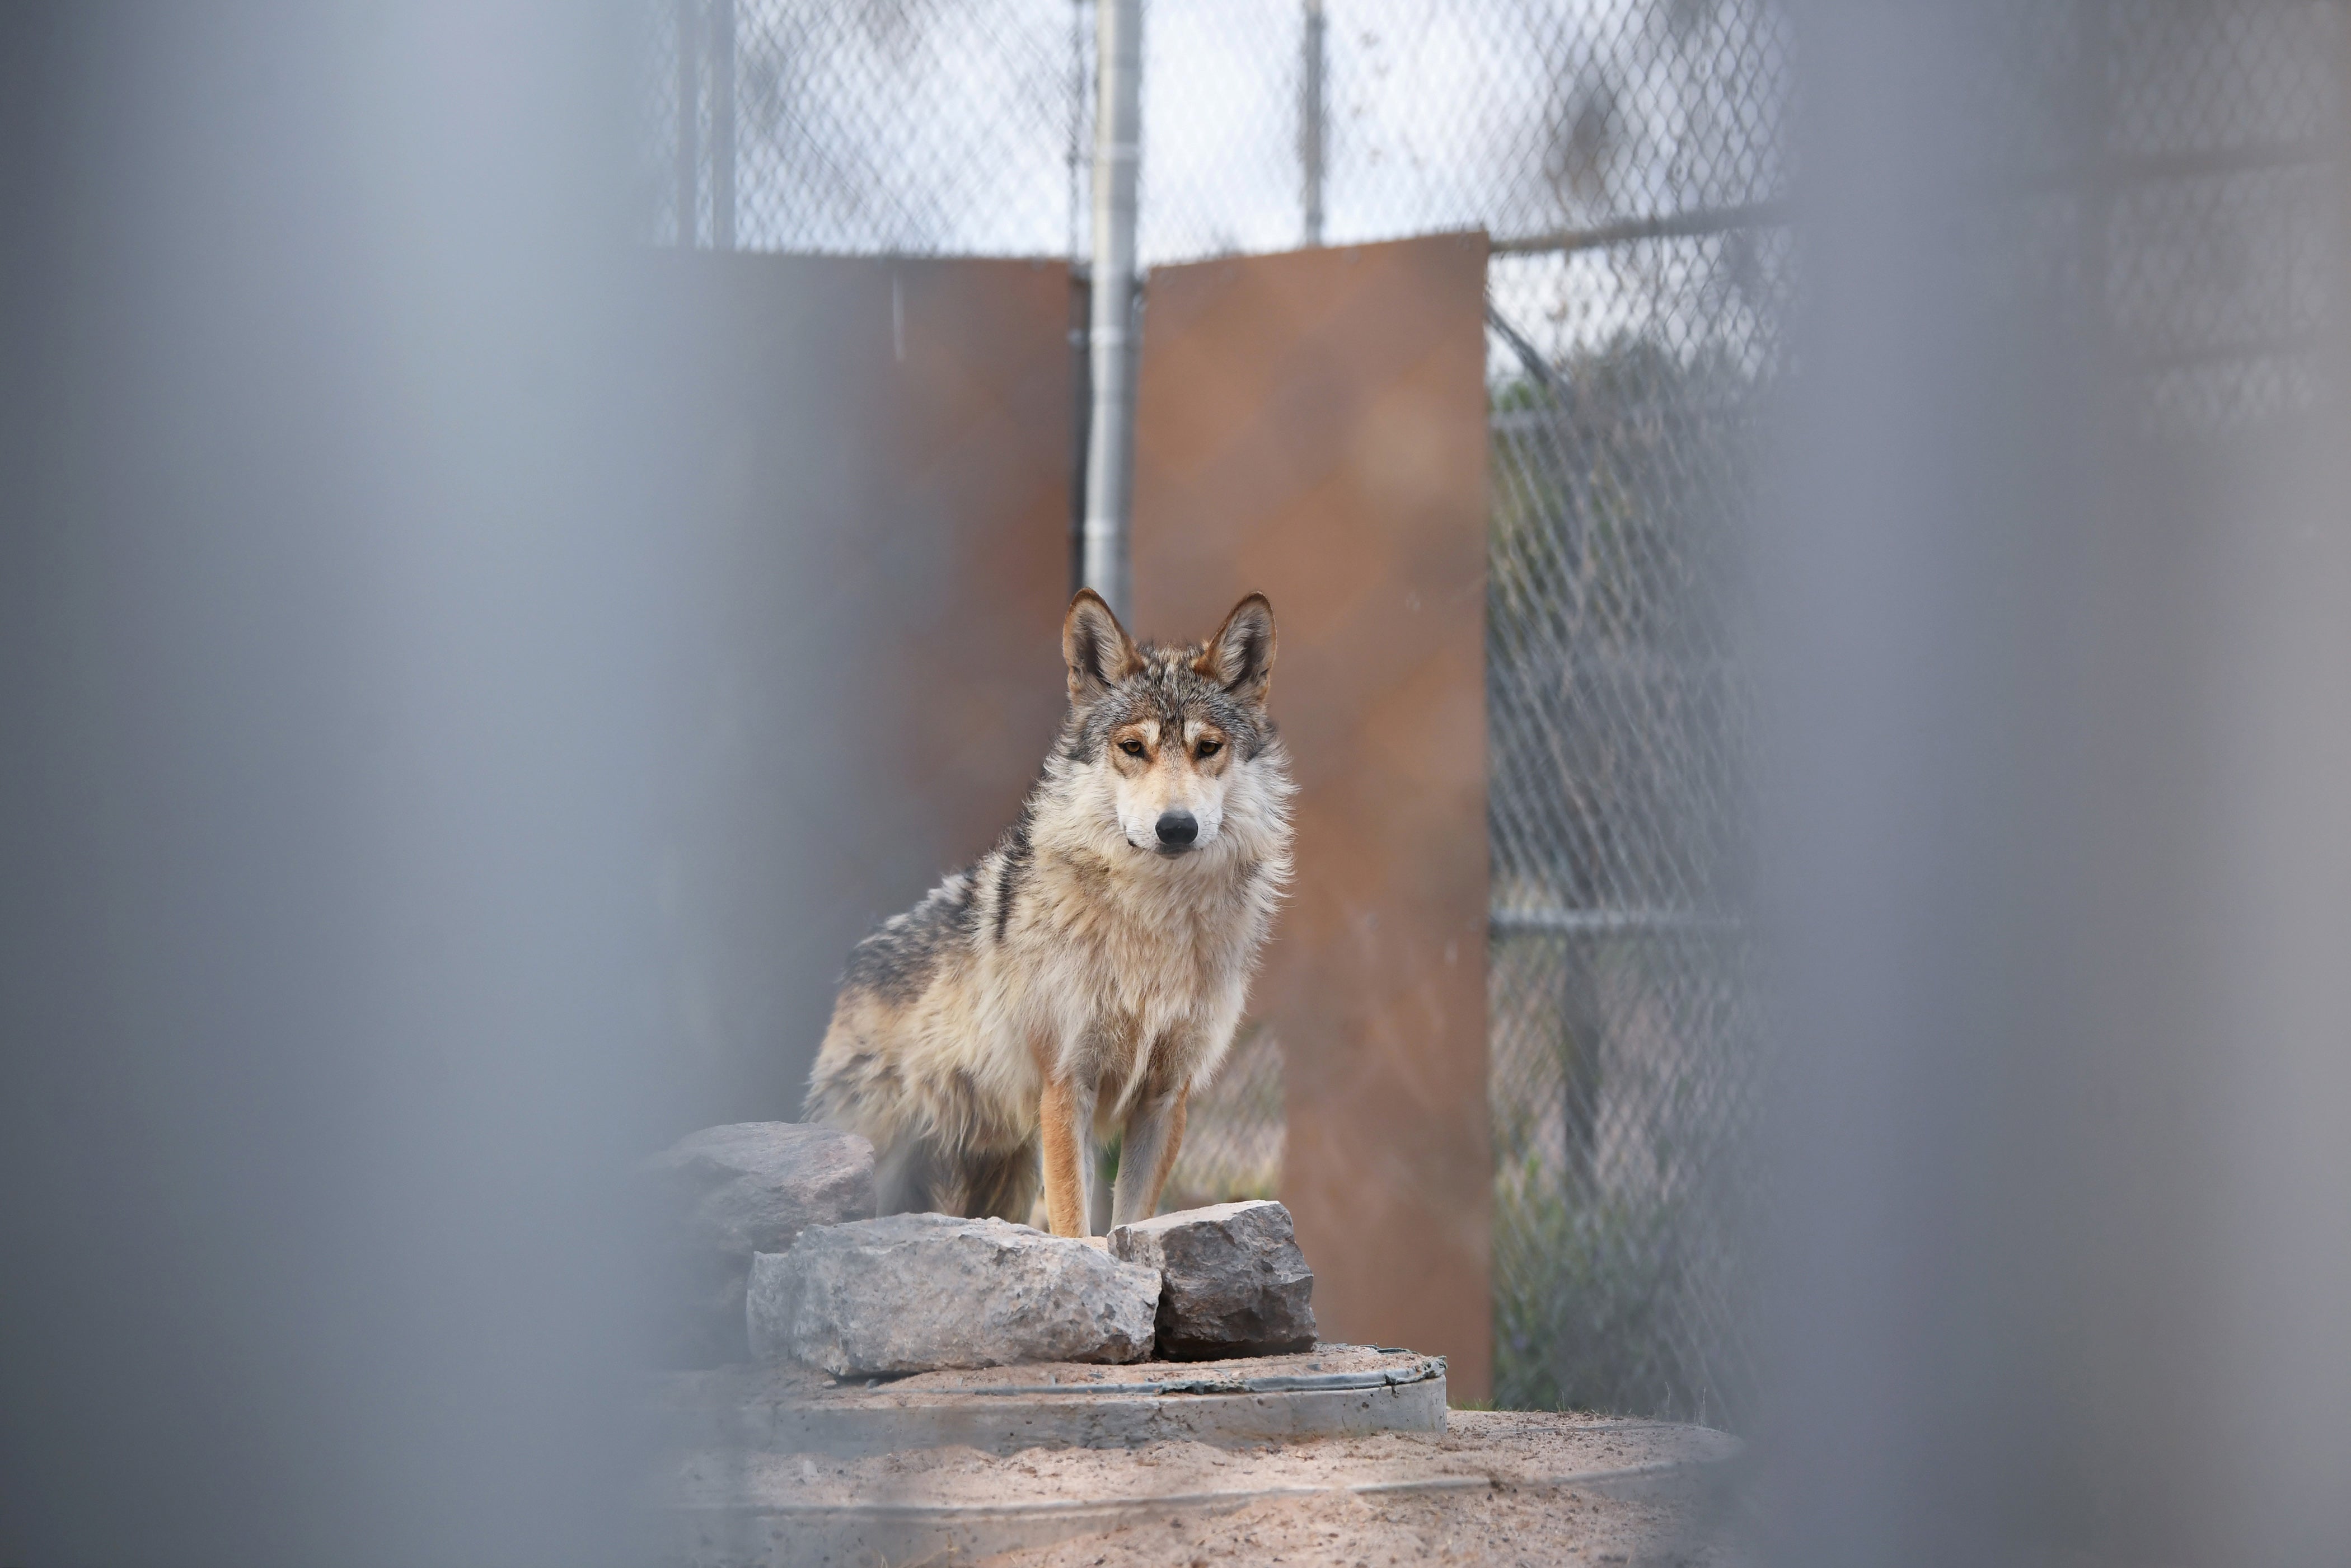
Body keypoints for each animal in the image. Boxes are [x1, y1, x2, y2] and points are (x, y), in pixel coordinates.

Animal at [799, 587, 1298, 1241]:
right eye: (1133, 748)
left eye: (1207, 748)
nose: (1176, 827)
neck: (1153, 920)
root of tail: (856, 965)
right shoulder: (1066, 1086)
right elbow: (1074, 1226)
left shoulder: (1166, 1097)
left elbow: (1130, 1225)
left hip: (1006, 1177)